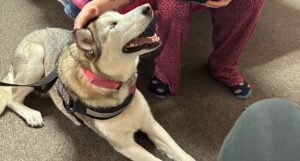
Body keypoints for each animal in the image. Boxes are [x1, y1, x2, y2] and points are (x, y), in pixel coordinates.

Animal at [0, 3, 195, 161]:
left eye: (121, 14)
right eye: (113, 25)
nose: (147, 7)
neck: (118, 85)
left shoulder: (151, 124)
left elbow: (184, 154)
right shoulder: (125, 145)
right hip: (36, 62)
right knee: (12, 99)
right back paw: (31, 115)